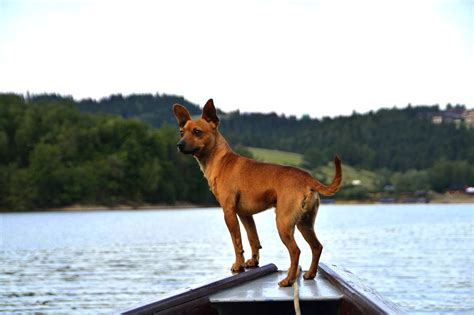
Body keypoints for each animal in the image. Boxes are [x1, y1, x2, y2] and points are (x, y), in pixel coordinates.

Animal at [173, 100, 340, 288]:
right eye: (181, 132)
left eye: (197, 132)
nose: (179, 145)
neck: (220, 160)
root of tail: (307, 177)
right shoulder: (245, 215)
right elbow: (253, 239)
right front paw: (253, 262)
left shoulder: (229, 213)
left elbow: (237, 242)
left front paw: (238, 265)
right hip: (304, 224)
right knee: (317, 247)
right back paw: (310, 274)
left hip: (283, 223)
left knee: (295, 251)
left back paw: (288, 280)